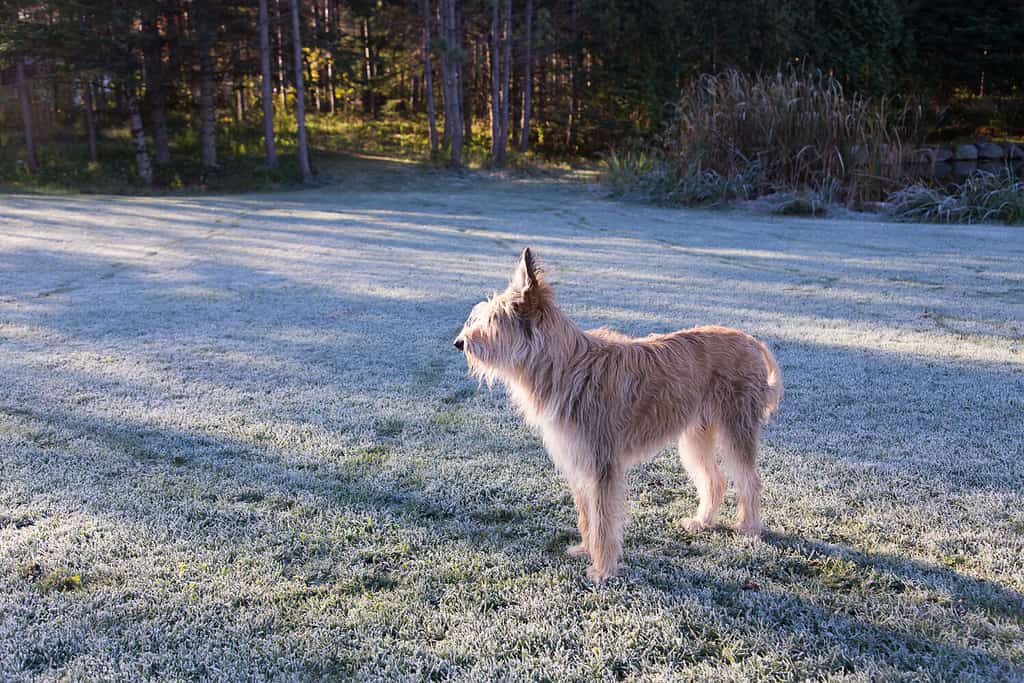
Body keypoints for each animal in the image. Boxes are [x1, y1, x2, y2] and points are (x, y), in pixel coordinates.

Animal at [452, 248, 778, 585]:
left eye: (494, 320)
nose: (459, 343)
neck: (564, 365)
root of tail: (751, 340)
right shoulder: (579, 461)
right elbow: (588, 515)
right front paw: (586, 549)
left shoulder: (602, 464)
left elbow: (604, 520)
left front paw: (603, 570)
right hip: (696, 435)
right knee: (714, 479)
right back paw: (703, 521)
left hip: (735, 429)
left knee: (749, 480)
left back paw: (750, 528)